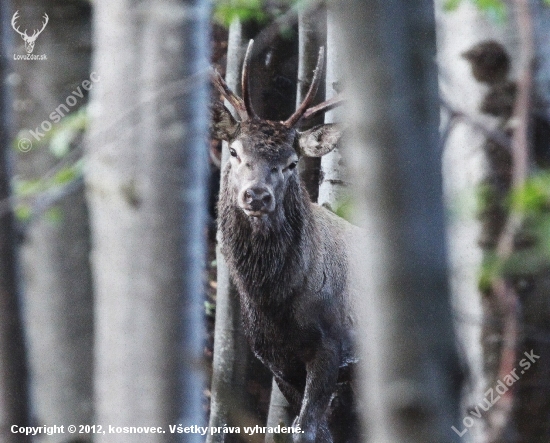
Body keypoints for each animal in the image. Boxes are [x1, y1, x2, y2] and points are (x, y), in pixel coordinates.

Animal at [213, 40, 364, 442]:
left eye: (292, 162)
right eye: (234, 151)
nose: (257, 196)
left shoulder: (331, 346)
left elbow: (305, 429)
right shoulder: (278, 364)